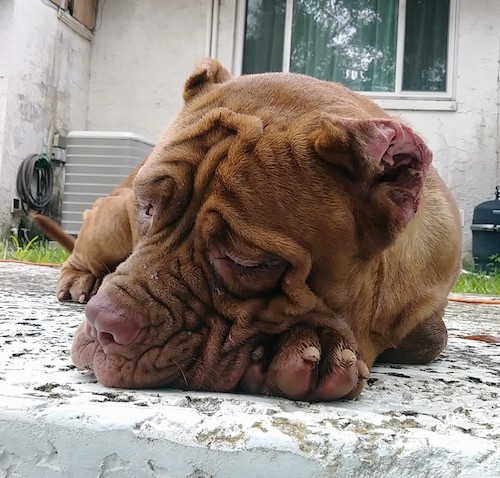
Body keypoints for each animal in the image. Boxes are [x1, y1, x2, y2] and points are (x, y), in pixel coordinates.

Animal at [47, 60, 460, 404]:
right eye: (147, 208)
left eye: (249, 261)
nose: (103, 324)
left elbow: (431, 335)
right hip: (111, 218)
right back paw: (81, 278)